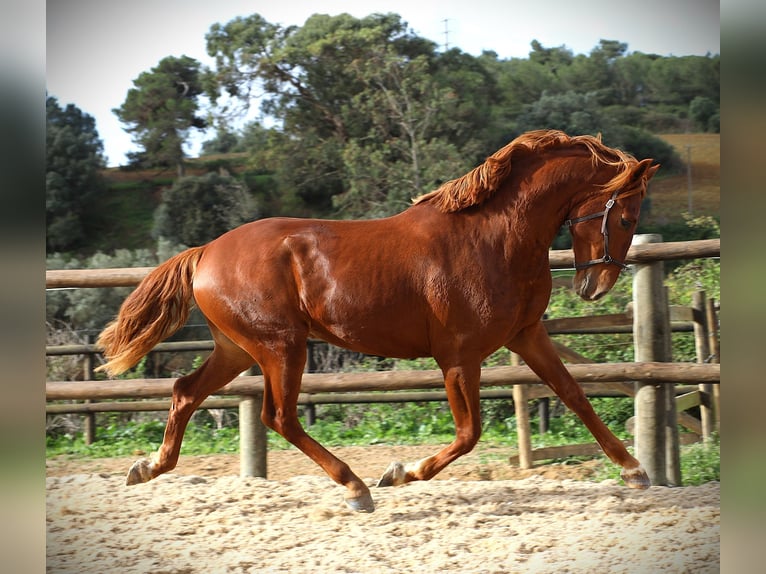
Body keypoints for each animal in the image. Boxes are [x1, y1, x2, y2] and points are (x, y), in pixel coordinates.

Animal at [96, 130, 660, 512]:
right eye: (626, 216)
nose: (595, 287)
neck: (496, 238)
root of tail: (207, 251)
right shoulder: (458, 356)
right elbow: (469, 433)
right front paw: (400, 472)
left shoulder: (526, 336)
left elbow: (574, 394)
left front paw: (635, 471)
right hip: (281, 347)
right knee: (278, 416)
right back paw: (357, 488)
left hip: (238, 349)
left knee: (186, 391)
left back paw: (146, 468)